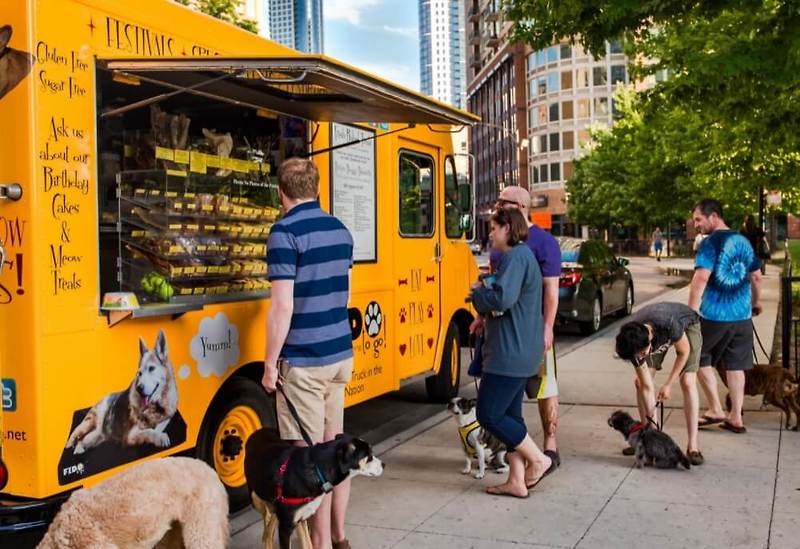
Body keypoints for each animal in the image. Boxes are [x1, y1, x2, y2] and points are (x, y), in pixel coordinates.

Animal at [242, 428, 382, 548]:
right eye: (369, 457)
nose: (384, 465)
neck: (316, 469)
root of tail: (258, 431)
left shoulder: (302, 518)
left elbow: (308, 544)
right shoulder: (285, 528)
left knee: (268, 531)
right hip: (255, 498)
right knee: (267, 527)